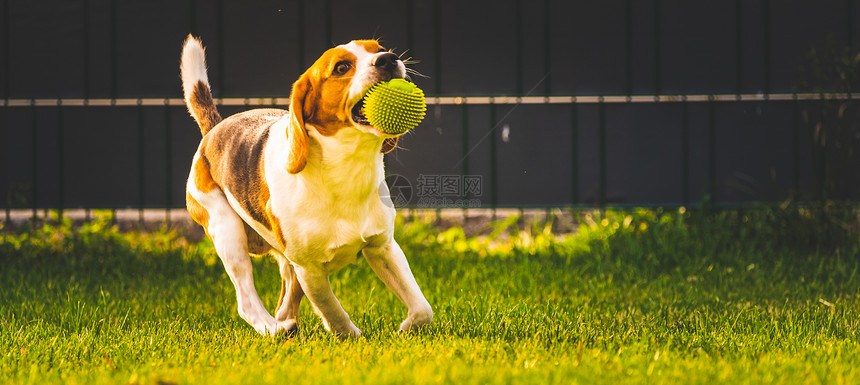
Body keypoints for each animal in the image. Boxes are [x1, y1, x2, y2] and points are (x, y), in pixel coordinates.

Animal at [182, 34, 436, 338]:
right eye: (341, 67)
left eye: (380, 49)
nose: (389, 58)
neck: (347, 167)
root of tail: (213, 130)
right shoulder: (309, 269)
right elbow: (331, 308)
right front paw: (350, 335)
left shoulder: (383, 247)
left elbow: (423, 308)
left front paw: (408, 328)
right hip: (227, 232)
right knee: (245, 299)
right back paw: (272, 329)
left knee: (285, 301)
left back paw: (285, 323)